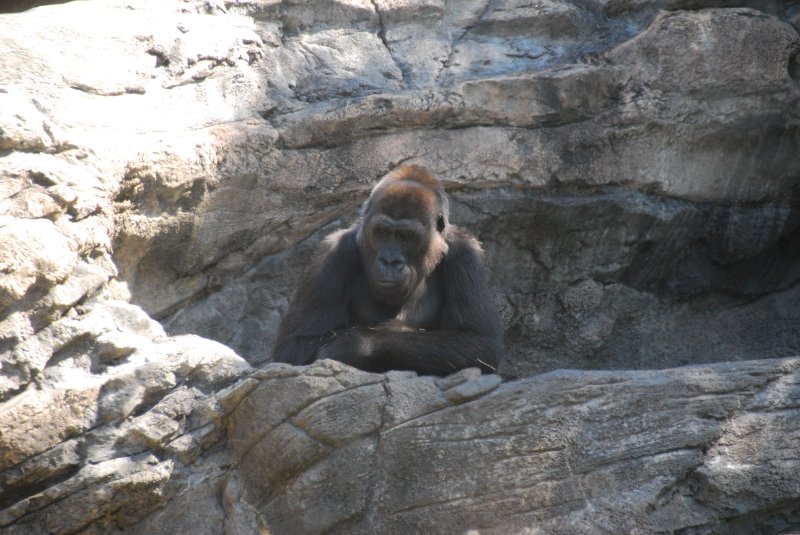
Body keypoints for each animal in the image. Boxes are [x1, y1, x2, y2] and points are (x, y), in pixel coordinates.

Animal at [272, 165, 504, 374]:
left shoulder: (464, 253)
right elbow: (295, 346)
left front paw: (358, 344)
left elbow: (477, 342)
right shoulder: (333, 252)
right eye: (382, 232)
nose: (390, 260)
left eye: (406, 236)